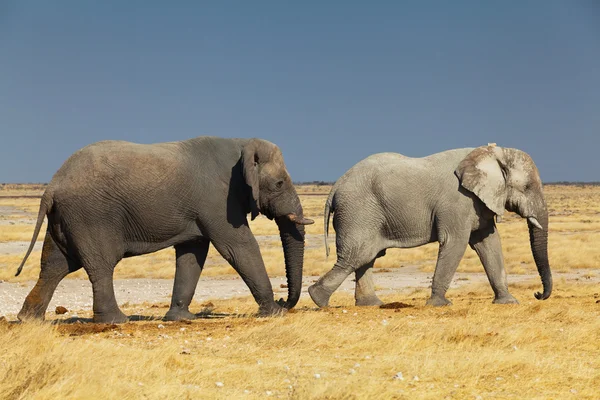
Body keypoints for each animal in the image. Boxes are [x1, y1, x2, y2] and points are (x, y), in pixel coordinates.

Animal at [15, 136, 312, 324]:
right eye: (279, 184)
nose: (285, 301)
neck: (241, 143)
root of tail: (52, 186)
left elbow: (193, 254)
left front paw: (181, 318)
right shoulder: (218, 199)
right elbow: (238, 246)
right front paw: (273, 313)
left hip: (65, 218)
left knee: (54, 266)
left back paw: (29, 320)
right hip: (90, 215)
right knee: (99, 265)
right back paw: (116, 321)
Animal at [310, 145, 552, 308]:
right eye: (527, 187)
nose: (538, 295)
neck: (492, 153)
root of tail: (335, 187)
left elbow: (489, 244)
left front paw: (508, 302)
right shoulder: (457, 202)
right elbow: (455, 243)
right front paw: (439, 304)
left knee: (366, 257)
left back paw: (371, 304)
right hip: (358, 212)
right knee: (357, 255)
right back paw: (317, 299)